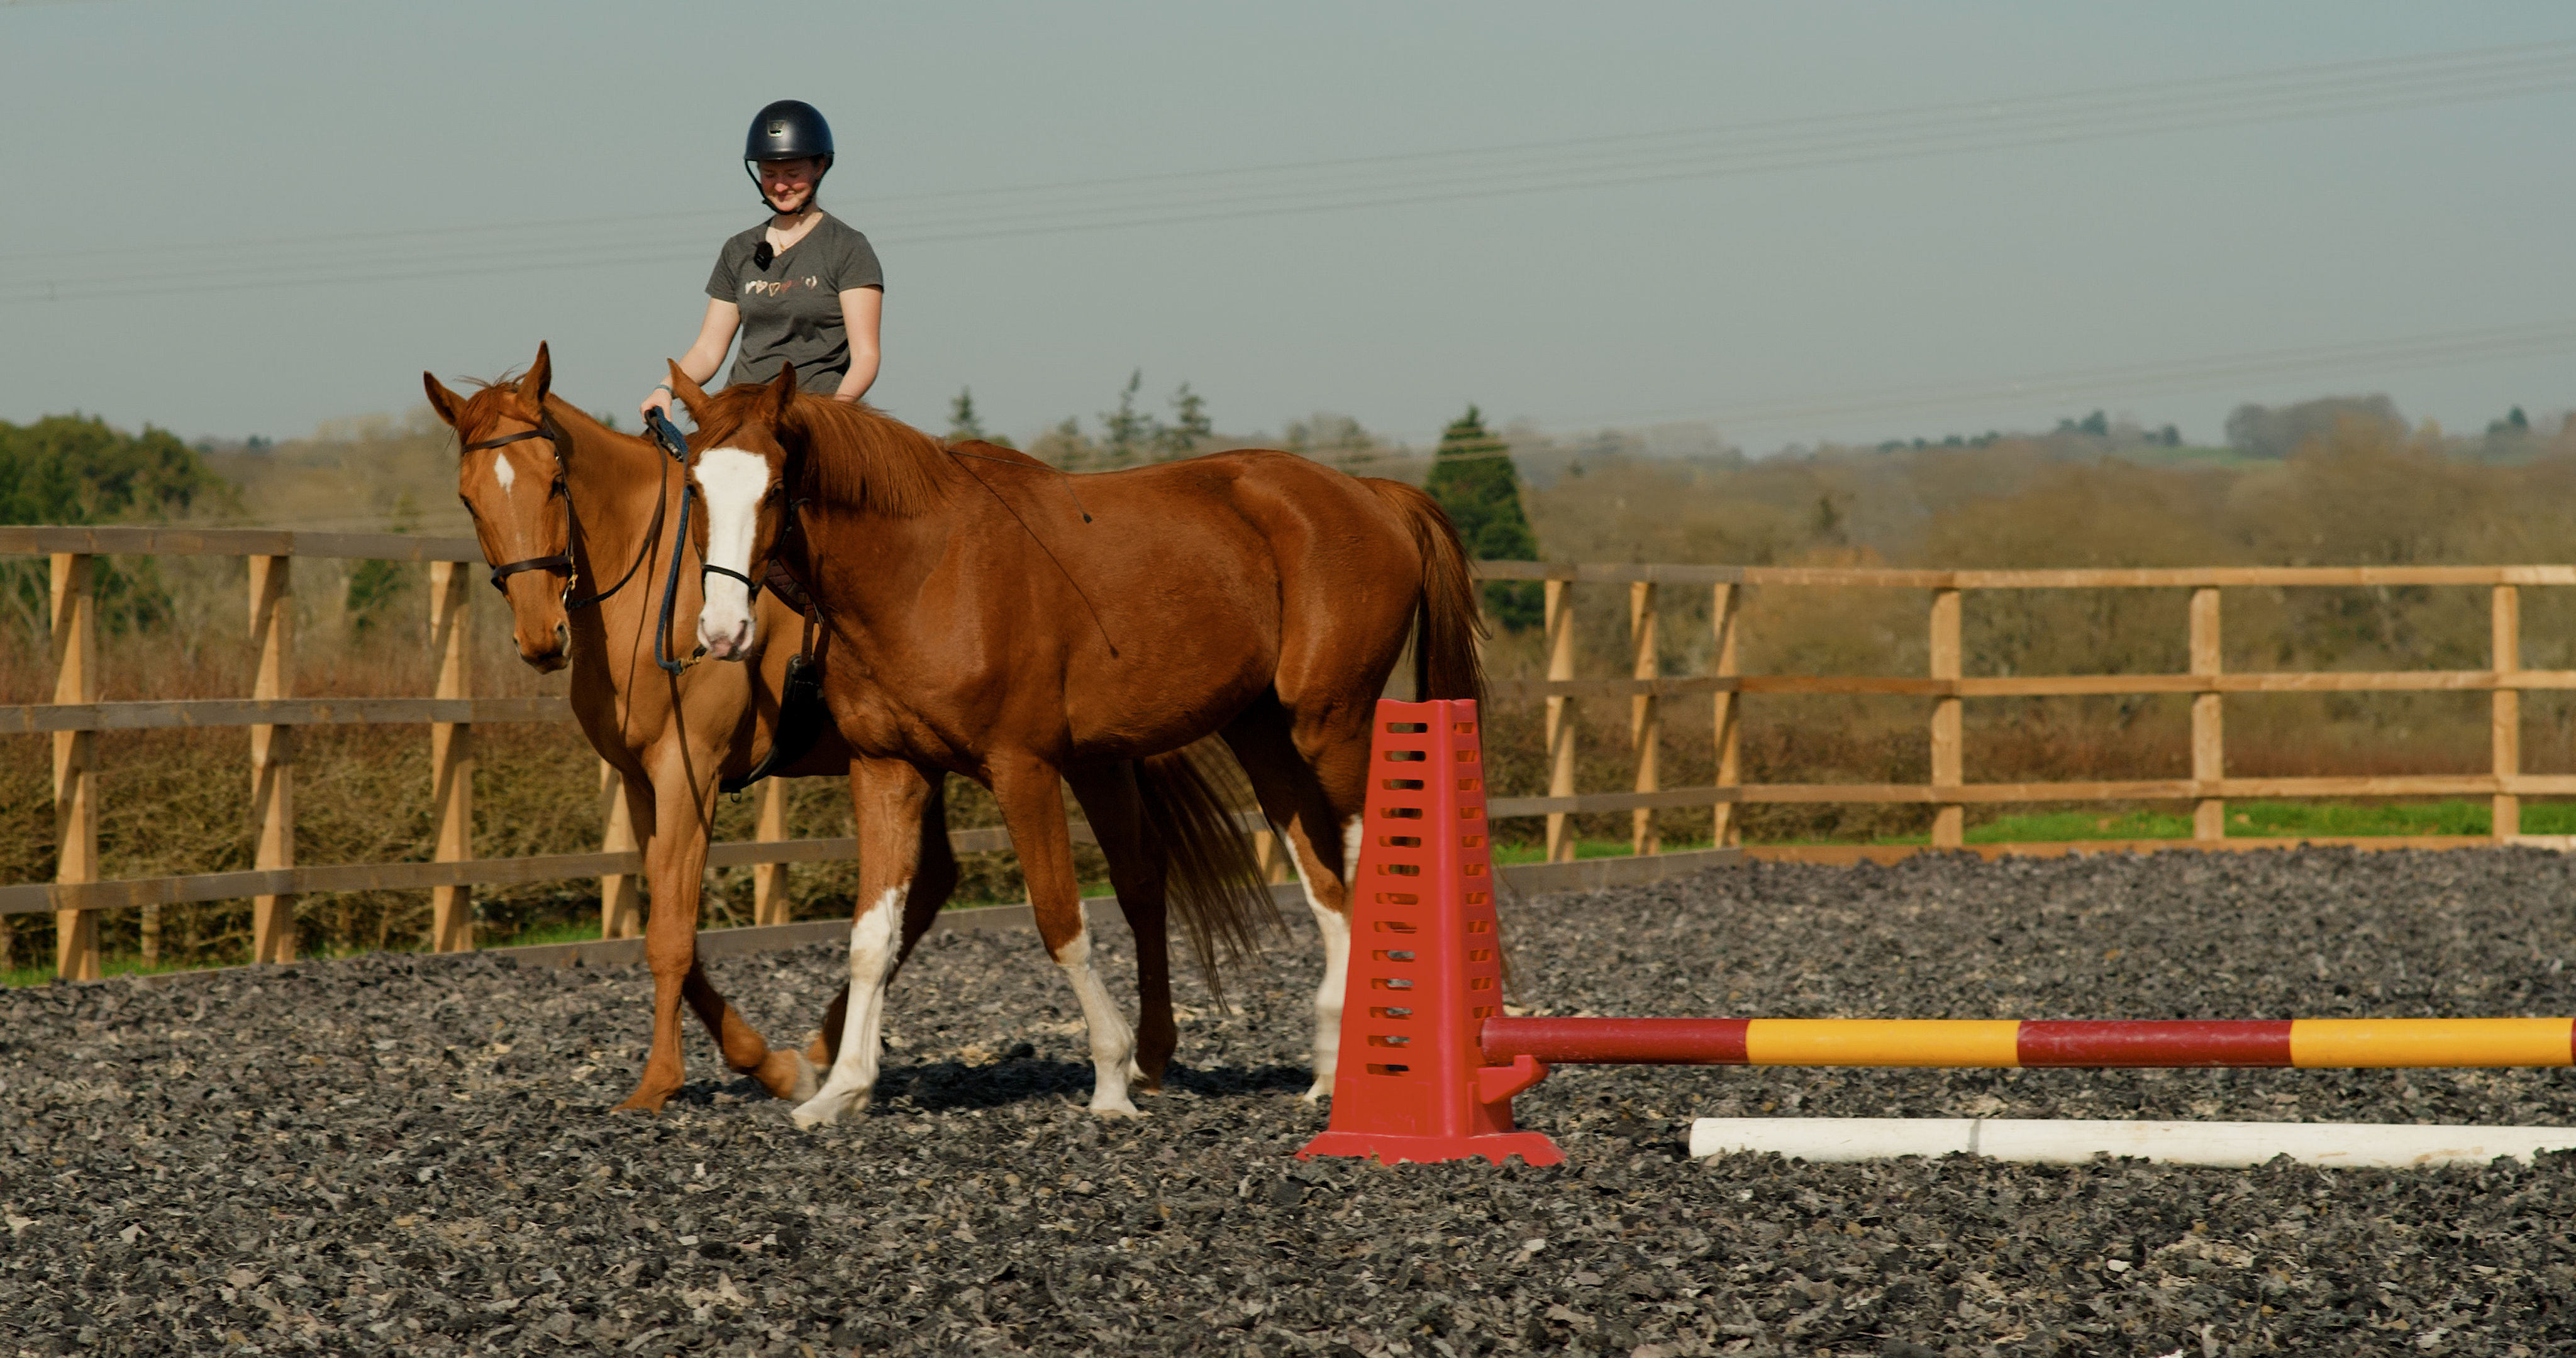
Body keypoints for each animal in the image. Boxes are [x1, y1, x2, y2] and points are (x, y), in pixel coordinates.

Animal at [424, 343, 1241, 1114]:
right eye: (467, 499)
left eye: (555, 483)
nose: (541, 638)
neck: (655, 592)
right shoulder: (640, 782)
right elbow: (675, 930)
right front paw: (771, 1065)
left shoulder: (689, 774)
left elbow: (670, 936)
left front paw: (662, 1083)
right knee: (987, 882)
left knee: (1115, 876)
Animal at [665, 361, 1486, 1126]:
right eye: (696, 487)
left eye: (776, 488)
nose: (724, 630)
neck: (925, 569)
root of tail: (1369, 493)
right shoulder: (888, 771)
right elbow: (872, 937)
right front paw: (841, 1090)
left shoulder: (1023, 769)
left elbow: (1062, 922)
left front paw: (1113, 1079)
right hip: (1265, 735)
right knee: (1322, 879)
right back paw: (1326, 1067)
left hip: (1332, 724)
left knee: (1363, 856)